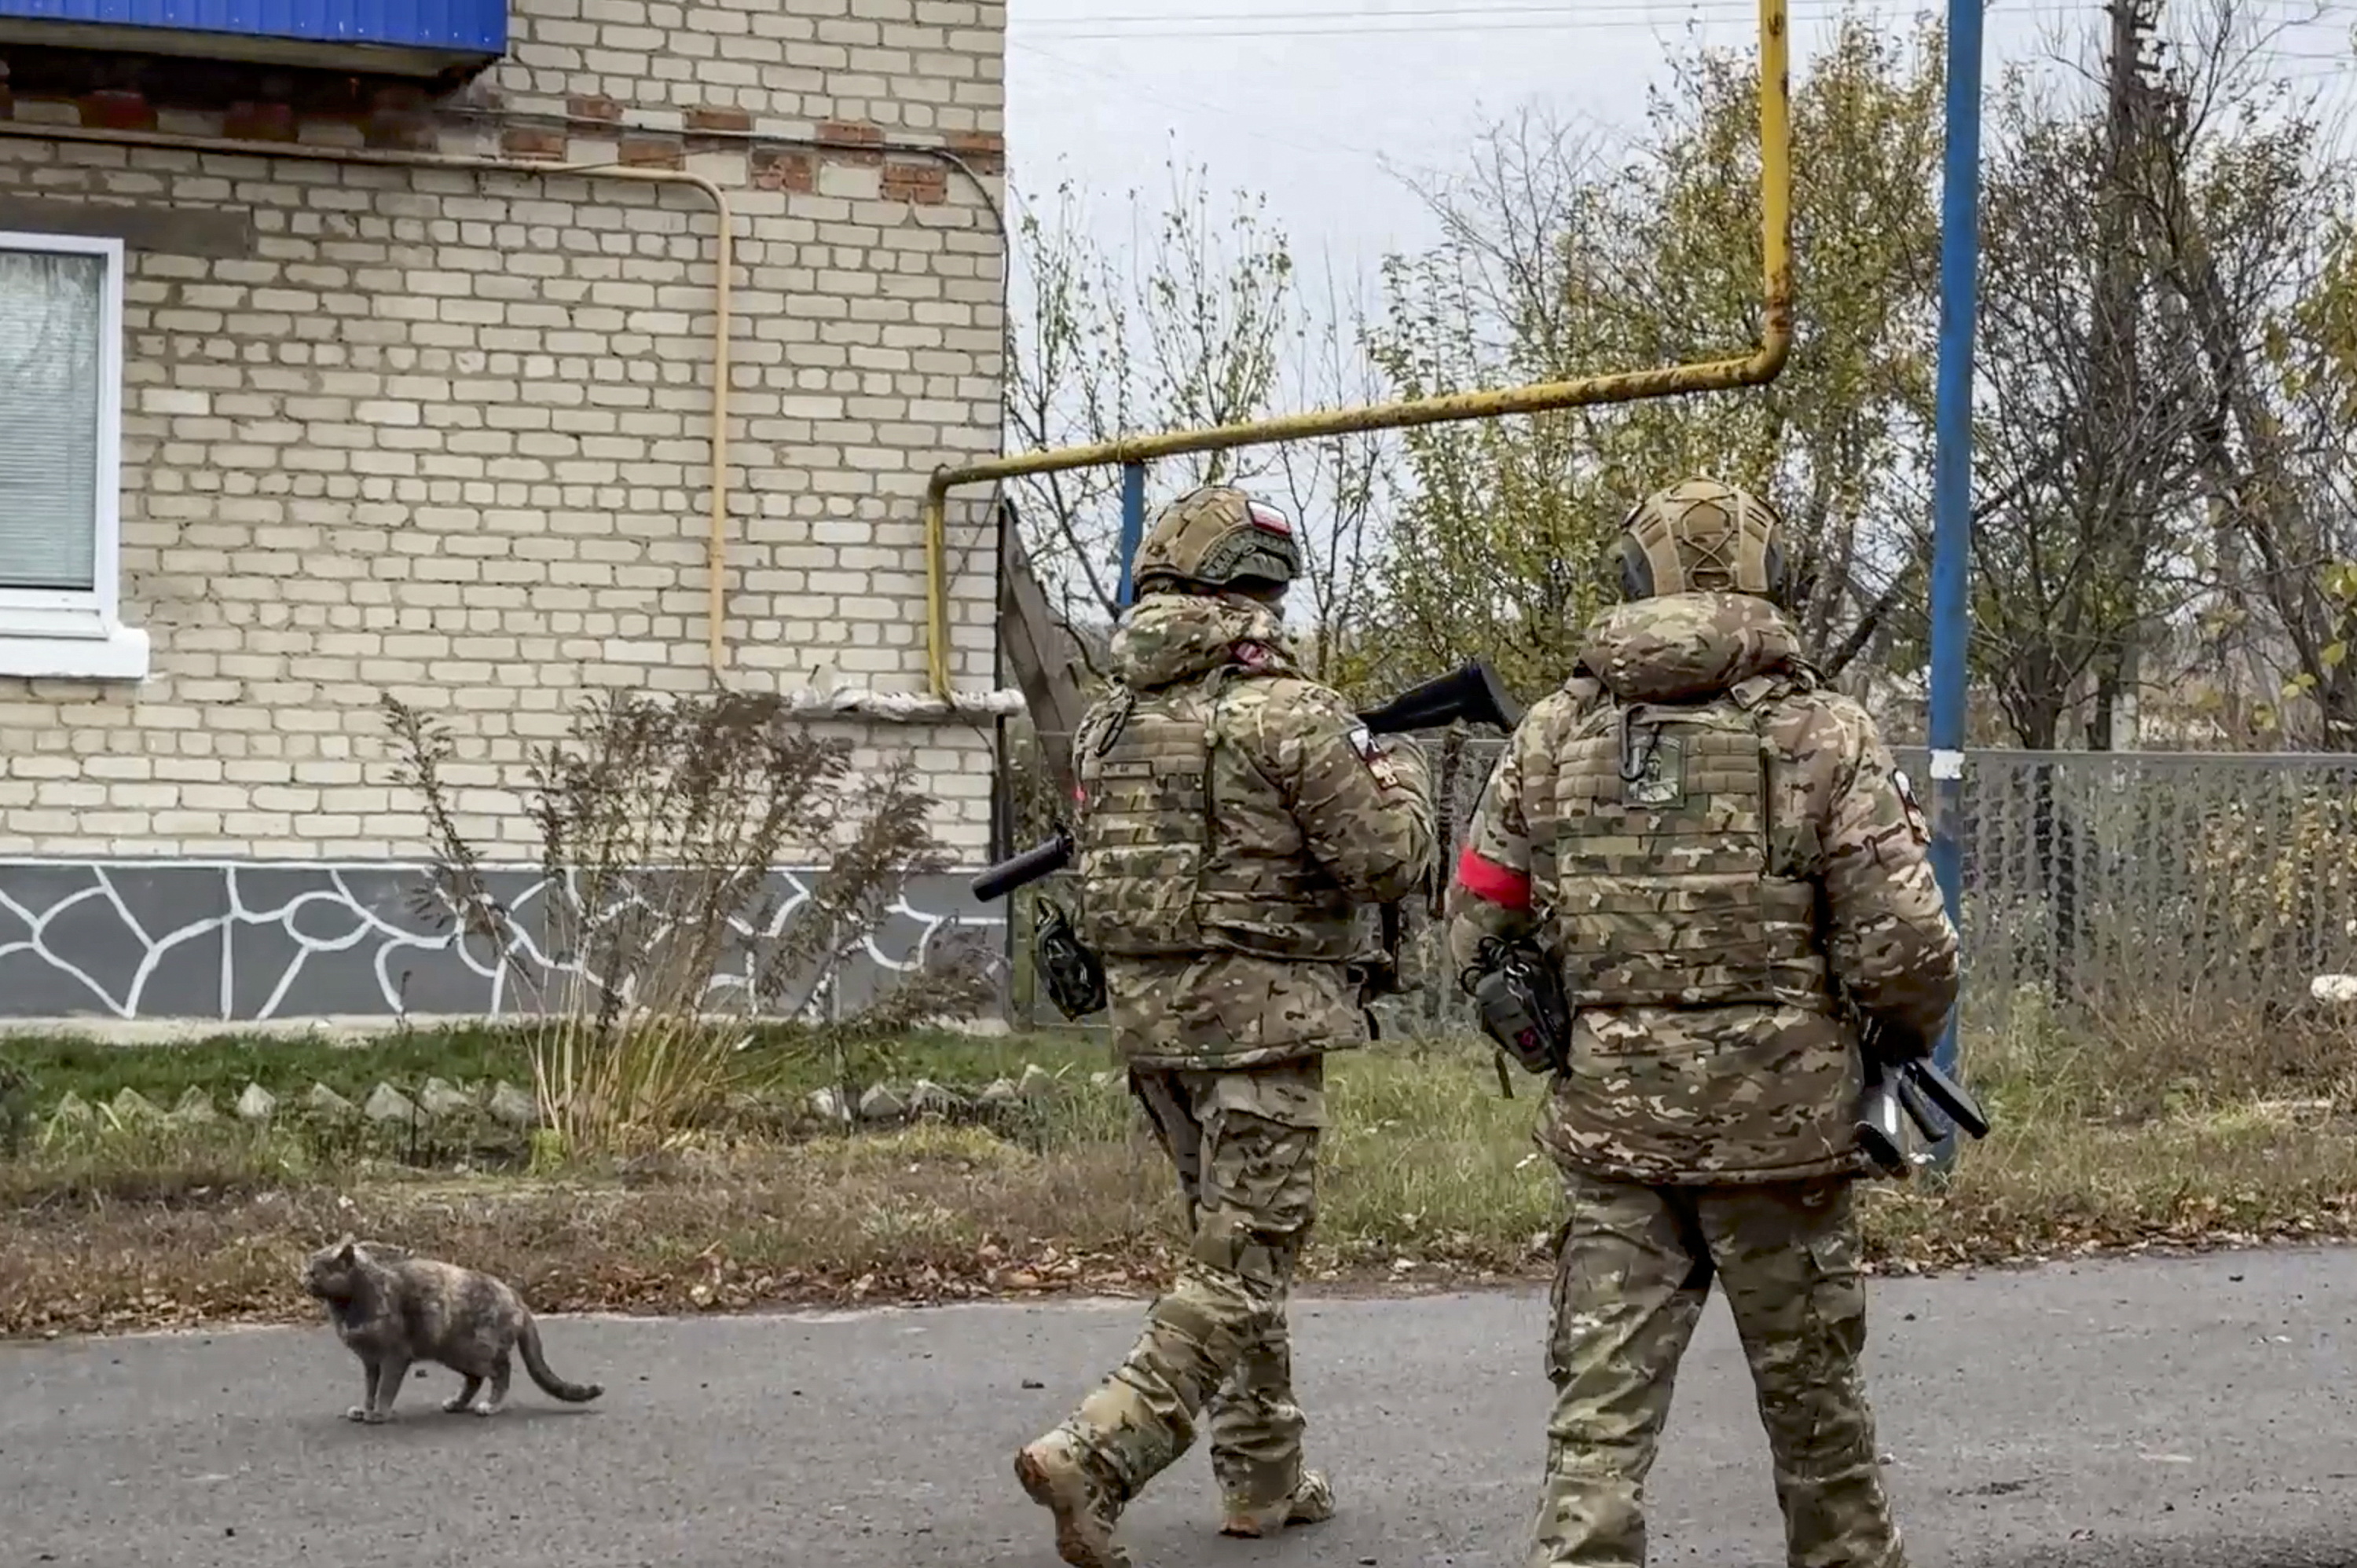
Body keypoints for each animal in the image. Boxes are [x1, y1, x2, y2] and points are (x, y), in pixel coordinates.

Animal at [299, 1235, 608, 1414]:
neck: (347, 1308)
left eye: (314, 1273)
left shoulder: (394, 1355)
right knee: (475, 1379)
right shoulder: (370, 1361)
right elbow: (370, 1389)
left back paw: (491, 1406)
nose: (302, 1280)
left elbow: (386, 1388)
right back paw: (457, 1403)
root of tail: (516, 1296)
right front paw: (364, 1409)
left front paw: (378, 1414)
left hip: (475, 1348)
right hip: (453, 1352)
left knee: (502, 1370)